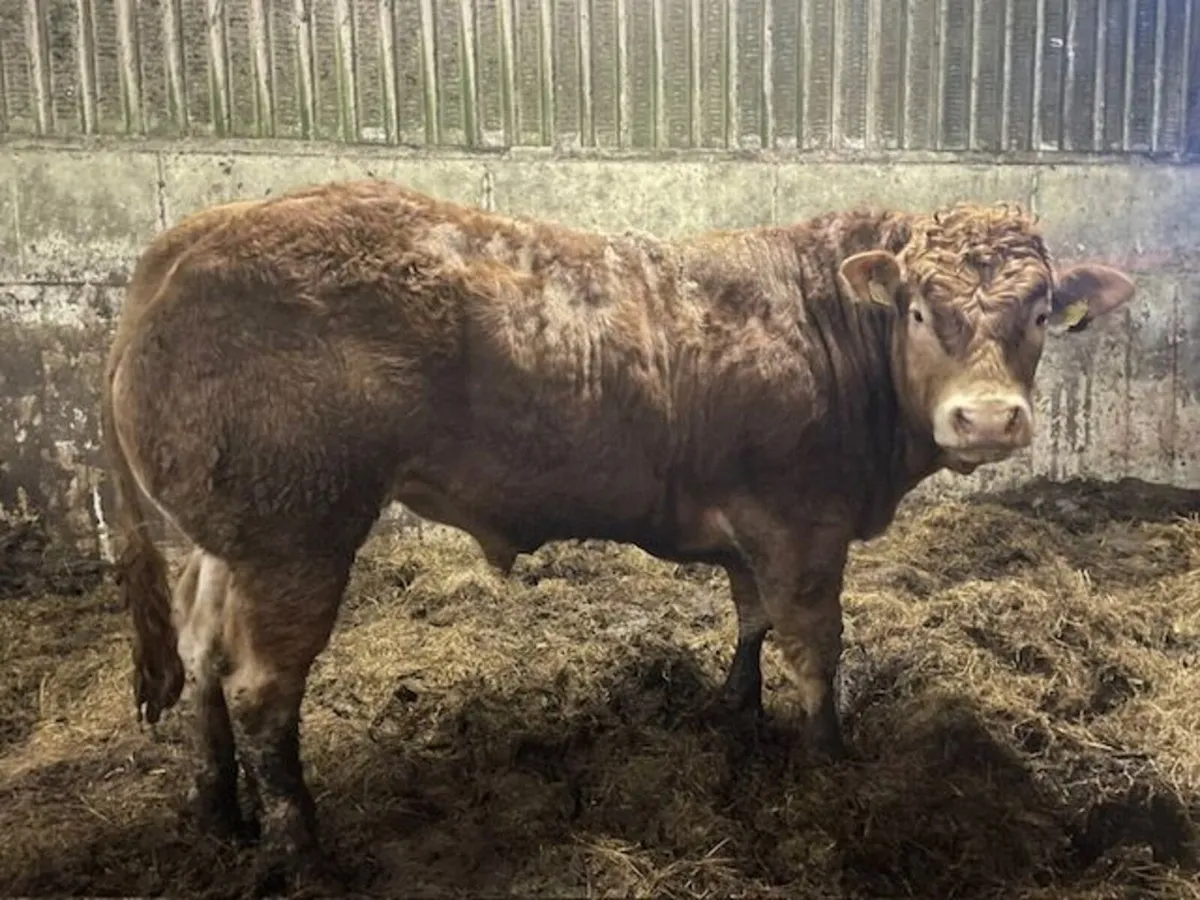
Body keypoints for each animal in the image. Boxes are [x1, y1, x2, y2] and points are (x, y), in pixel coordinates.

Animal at [102, 179, 1134, 888]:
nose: (989, 419)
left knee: (200, 655)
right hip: (298, 538)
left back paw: (218, 811)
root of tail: (196, 233)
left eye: (1042, 312)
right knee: (262, 690)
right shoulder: (803, 520)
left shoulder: (755, 527)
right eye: (920, 310)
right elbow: (815, 644)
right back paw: (302, 851)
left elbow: (751, 620)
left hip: (228, 544)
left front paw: (735, 709)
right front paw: (829, 761)